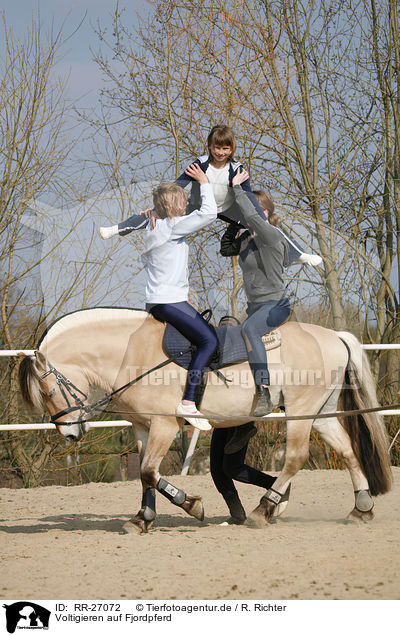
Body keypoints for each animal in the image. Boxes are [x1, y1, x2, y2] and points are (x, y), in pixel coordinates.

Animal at [18, 308, 390, 532]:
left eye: (48, 391)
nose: (70, 433)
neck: (130, 352)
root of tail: (333, 335)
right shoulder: (142, 427)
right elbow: (145, 476)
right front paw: (142, 518)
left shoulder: (165, 425)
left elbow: (149, 472)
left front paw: (190, 505)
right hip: (321, 413)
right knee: (347, 451)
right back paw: (361, 507)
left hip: (301, 412)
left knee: (296, 457)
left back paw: (264, 509)